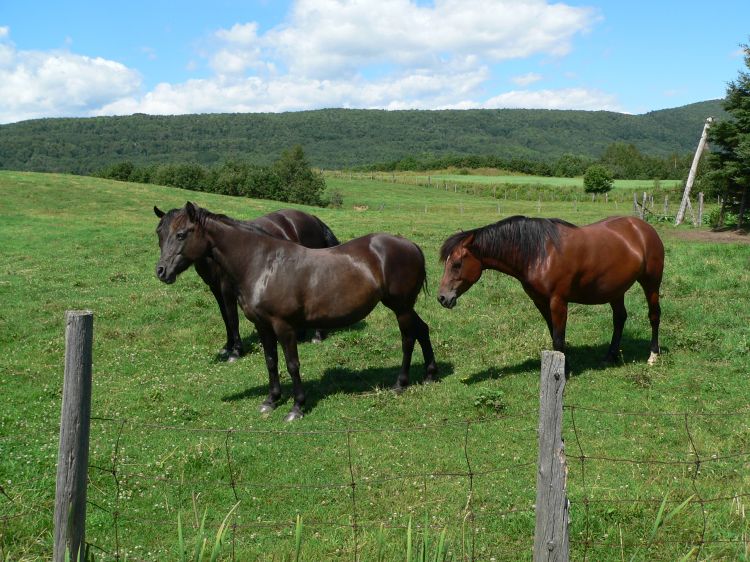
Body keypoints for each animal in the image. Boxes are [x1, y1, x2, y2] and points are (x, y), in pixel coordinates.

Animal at [154, 206, 340, 358]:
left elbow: (232, 318)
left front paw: (236, 351)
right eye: (159, 234)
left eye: (180, 235)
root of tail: (313, 218)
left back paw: (318, 335)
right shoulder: (215, 289)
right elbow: (225, 317)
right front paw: (227, 347)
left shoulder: (227, 288)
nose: (161, 271)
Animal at [438, 214, 668, 368]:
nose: (442, 297)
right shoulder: (540, 301)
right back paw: (610, 356)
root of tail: (643, 228)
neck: (539, 253)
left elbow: (558, 335)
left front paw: (563, 371)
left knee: (654, 315)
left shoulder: (558, 300)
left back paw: (653, 355)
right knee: (619, 318)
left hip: (651, 283)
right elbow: (554, 334)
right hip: (616, 290)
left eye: (457, 264)